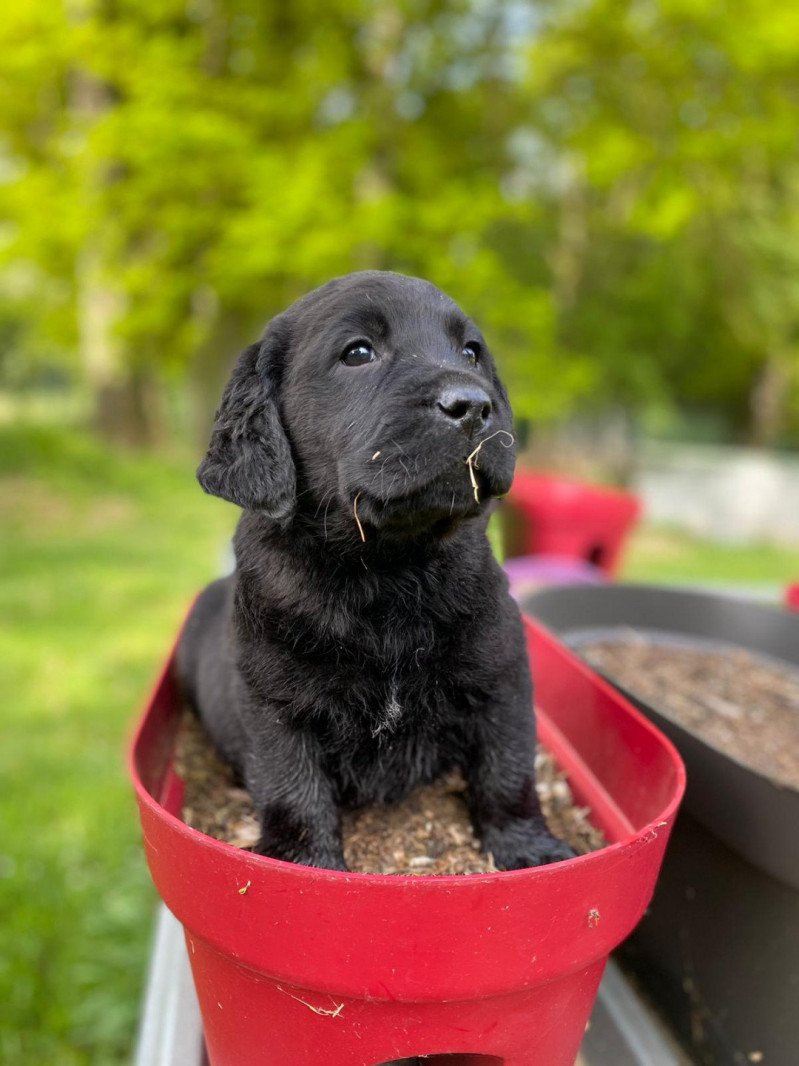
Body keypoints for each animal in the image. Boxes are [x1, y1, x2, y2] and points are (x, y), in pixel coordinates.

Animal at [175, 270, 575, 869]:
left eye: (471, 353)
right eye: (358, 353)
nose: (473, 405)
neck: (388, 571)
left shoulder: (502, 677)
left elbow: (506, 771)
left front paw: (529, 852)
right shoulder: (275, 708)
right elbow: (294, 790)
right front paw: (308, 868)